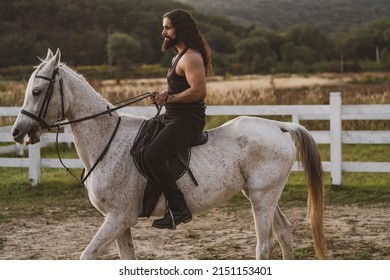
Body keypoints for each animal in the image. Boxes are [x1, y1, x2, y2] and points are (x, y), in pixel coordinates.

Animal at [12, 48, 328, 260]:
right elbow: (128, 259)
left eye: (37, 91)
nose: (17, 132)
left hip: (262, 197)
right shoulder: (120, 222)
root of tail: (278, 125)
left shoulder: (118, 218)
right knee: (284, 232)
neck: (106, 140)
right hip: (261, 194)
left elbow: (86, 255)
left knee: (265, 244)